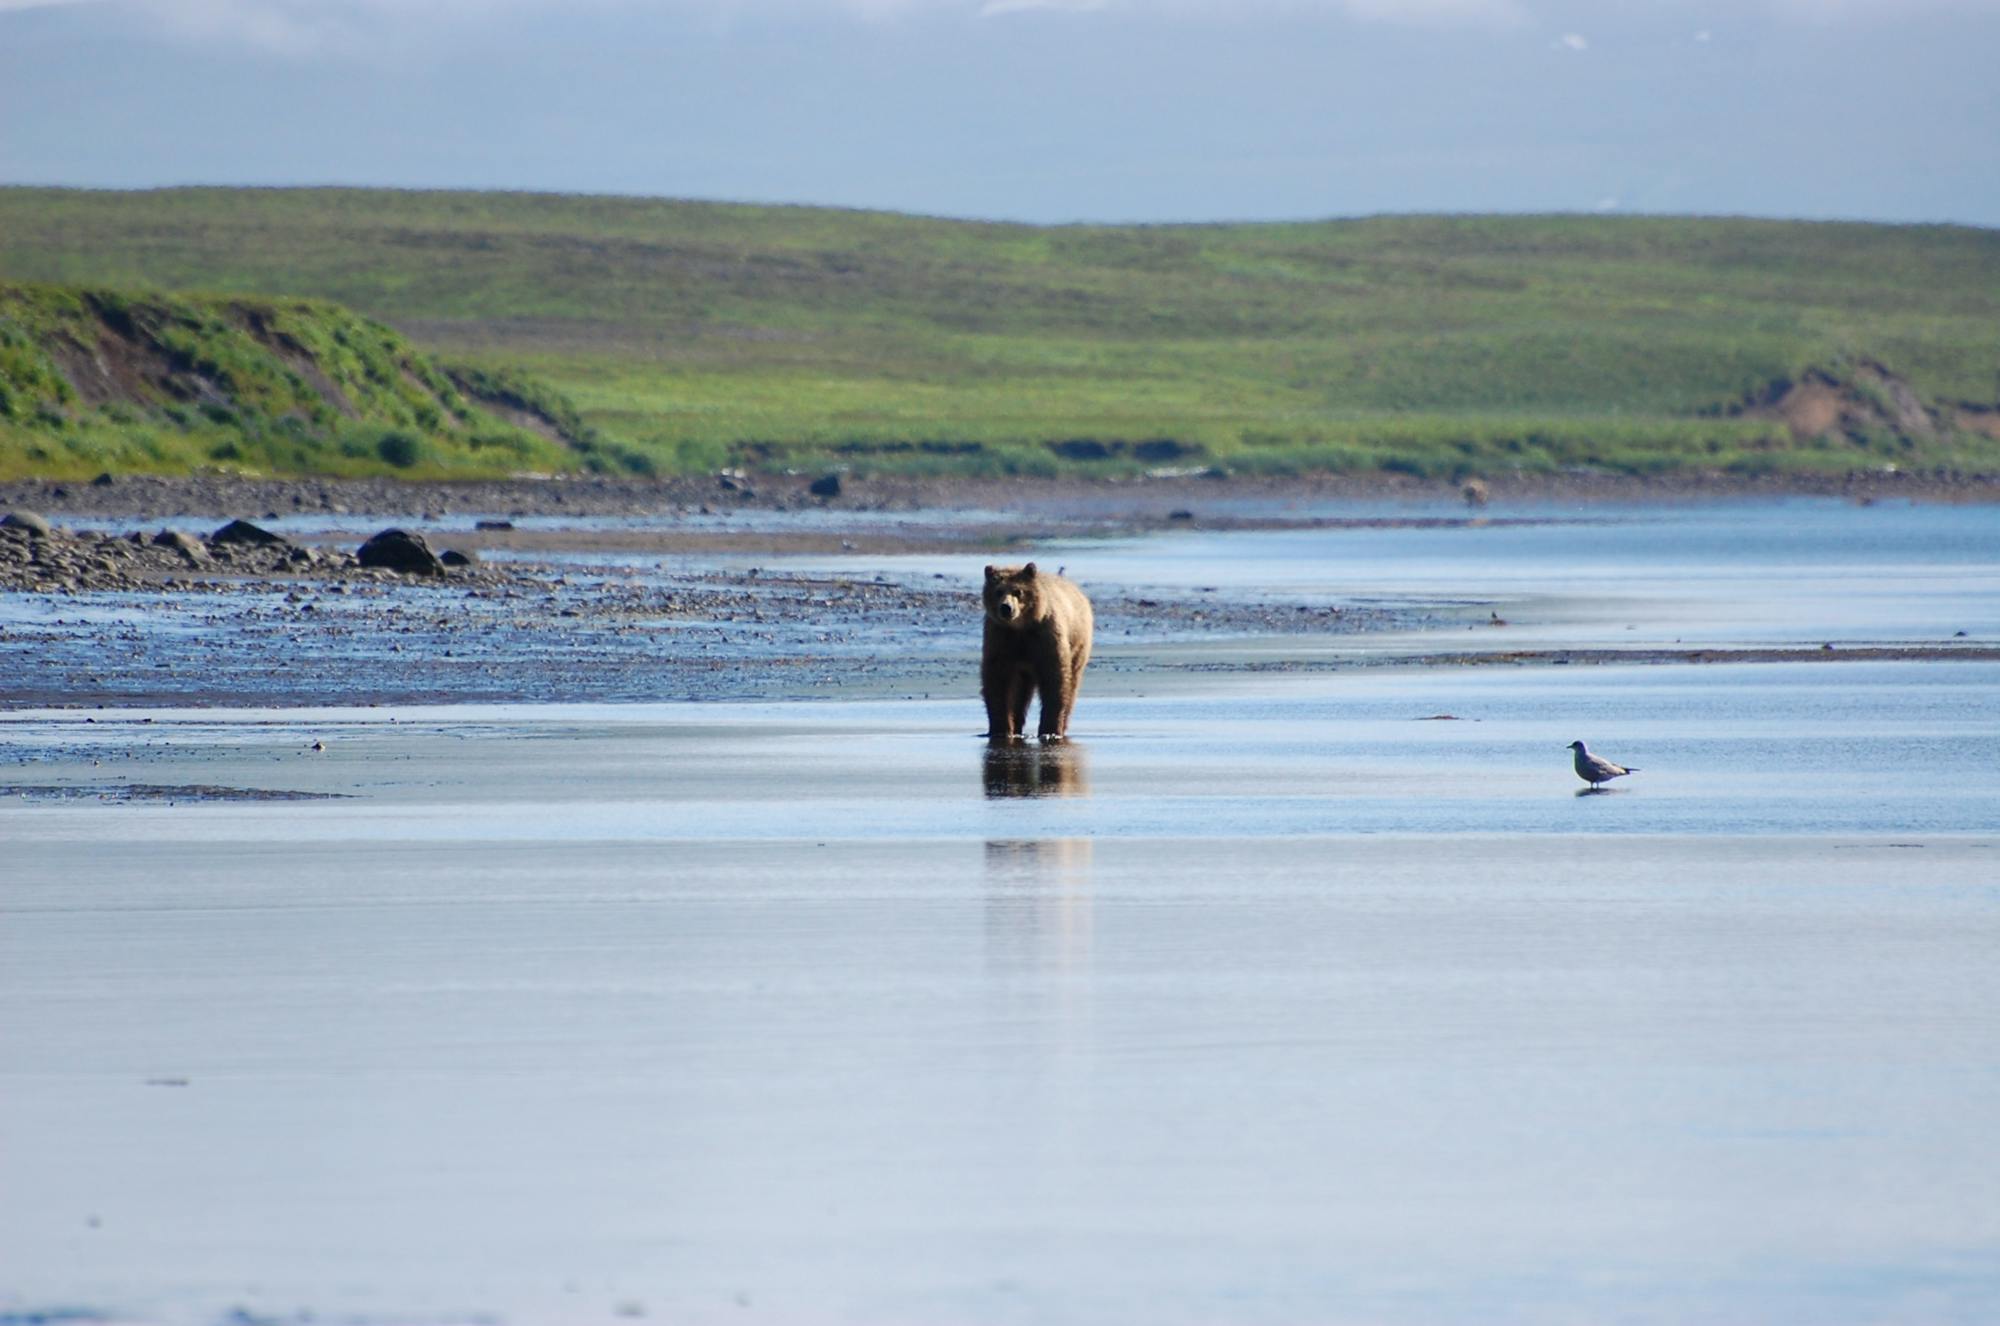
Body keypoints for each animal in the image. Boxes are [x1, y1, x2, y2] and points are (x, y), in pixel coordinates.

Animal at [981, 562, 1094, 742]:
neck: (1020, 628)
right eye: (998, 591)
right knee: (1020, 692)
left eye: (1018, 591)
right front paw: (1000, 730)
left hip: (1078, 646)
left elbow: (1055, 680)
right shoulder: (1000, 638)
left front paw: (1050, 730)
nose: (1006, 608)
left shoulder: (1045, 638)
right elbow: (997, 681)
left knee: (1072, 684)